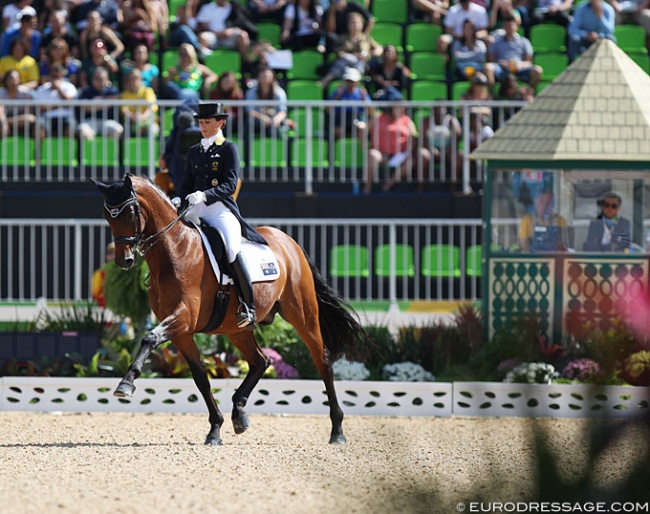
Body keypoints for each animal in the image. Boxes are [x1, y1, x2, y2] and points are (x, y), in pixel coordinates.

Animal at [89, 174, 368, 442]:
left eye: (130, 212)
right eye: (107, 214)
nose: (124, 260)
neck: (175, 251)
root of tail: (289, 242)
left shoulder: (183, 317)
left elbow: (149, 338)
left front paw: (126, 384)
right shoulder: (182, 333)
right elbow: (201, 378)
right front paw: (215, 429)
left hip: (303, 314)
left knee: (322, 360)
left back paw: (337, 430)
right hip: (236, 329)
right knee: (261, 361)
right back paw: (239, 413)